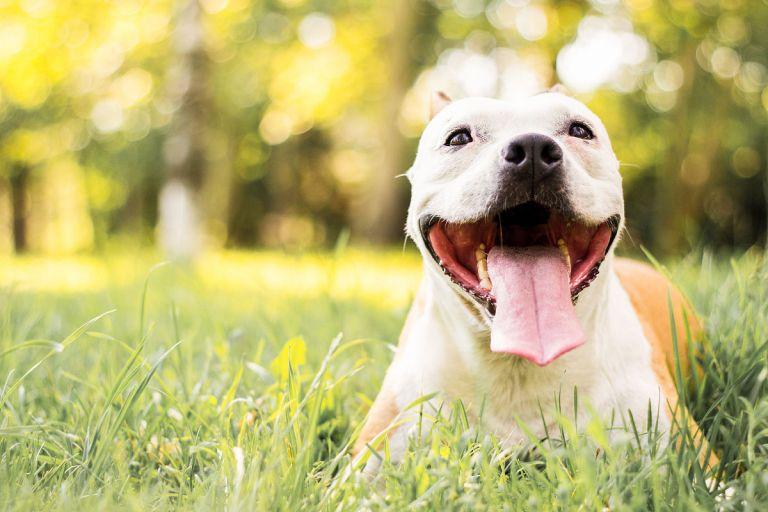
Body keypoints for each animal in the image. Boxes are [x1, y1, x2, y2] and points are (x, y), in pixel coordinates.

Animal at [352, 90, 712, 470]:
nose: (533, 148)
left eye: (580, 130)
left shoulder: (692, 456)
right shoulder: (371, 460)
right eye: (459, 137)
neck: (519, 365)